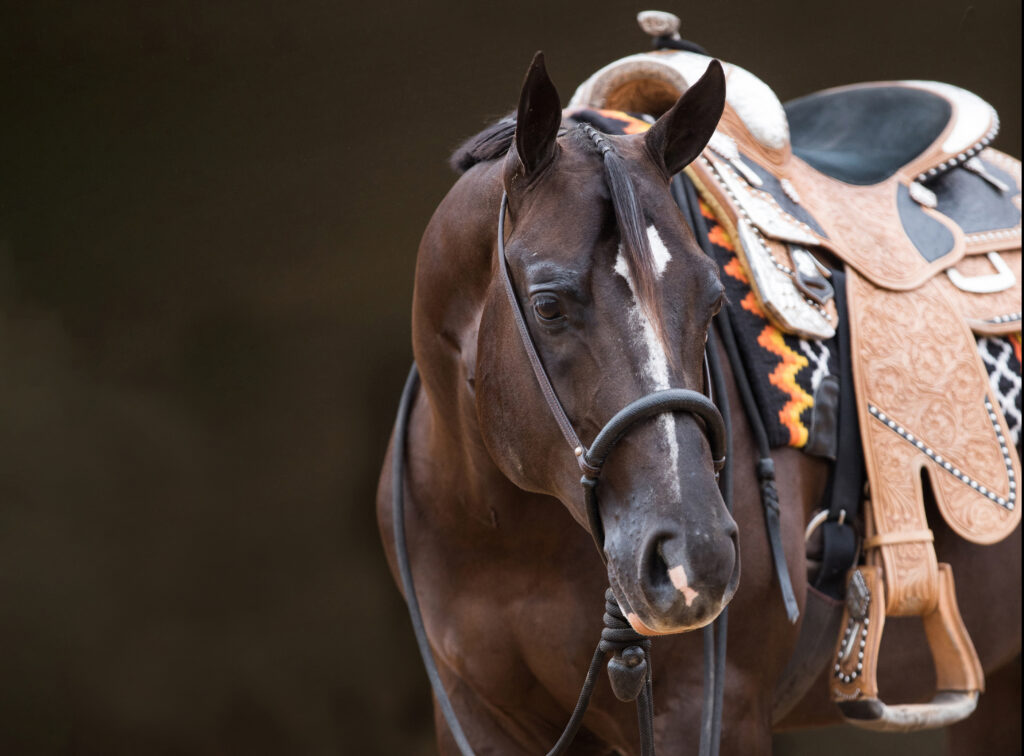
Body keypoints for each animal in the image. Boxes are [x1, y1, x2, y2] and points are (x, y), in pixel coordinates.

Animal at [376, 51, 1021, 755]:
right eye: (548, 306)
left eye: (714, 300)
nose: (695, 555)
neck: (506, 532)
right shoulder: (474, 714)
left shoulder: (711, 710)